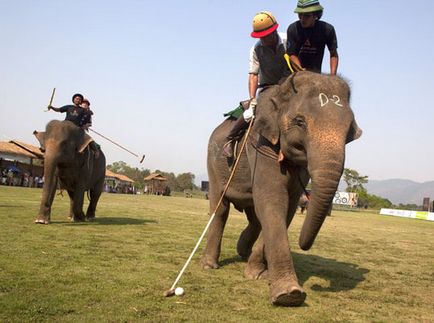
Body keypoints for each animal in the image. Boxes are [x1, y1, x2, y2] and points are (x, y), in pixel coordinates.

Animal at [202, 71, 362, 306]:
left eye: (350, 132)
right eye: (299, 122)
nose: (303, 245)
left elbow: (286, 208)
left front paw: (258, 273)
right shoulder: (260, 145)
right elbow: (273, 201)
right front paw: (289, 294)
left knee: (254, 217)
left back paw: (243, 253)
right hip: (214, 164)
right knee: (220, 208)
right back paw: (209, 265)